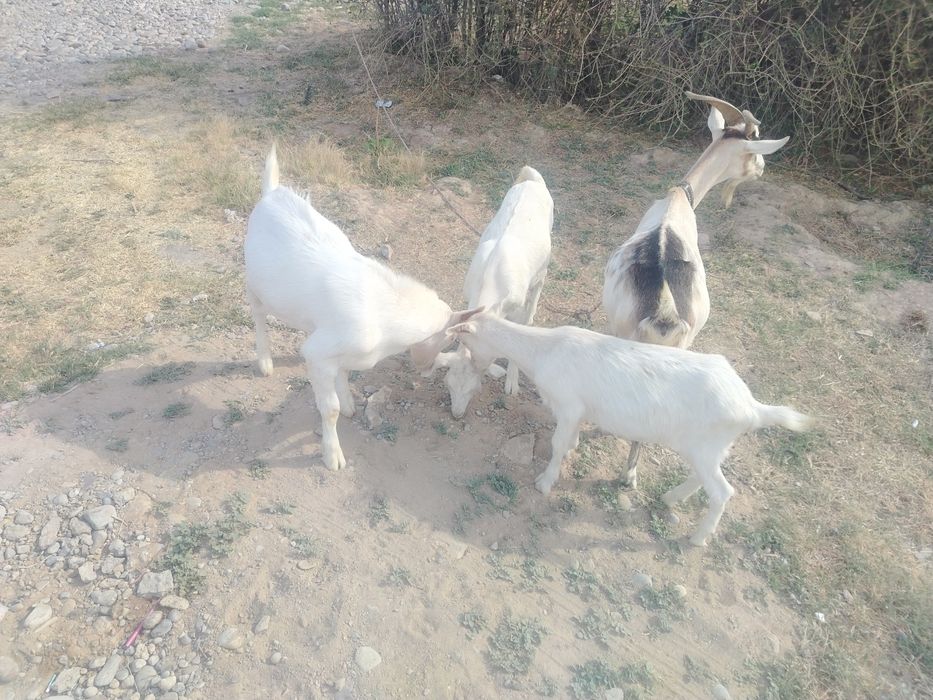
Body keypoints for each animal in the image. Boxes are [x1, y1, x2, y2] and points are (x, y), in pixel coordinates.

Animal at [244, 144, 480, 471]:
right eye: (449, 339)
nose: (426, 368)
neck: (385, 314)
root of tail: (271, 192)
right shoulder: (319, 354)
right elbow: (328, 408)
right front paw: (333, 455)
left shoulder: (335, 349)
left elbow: (342, 376)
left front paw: (348, 404)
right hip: (254, 283)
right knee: (257, 315)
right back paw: (265, 361)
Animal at [428, 166, 553, 418]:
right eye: (448, 384)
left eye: (474, 389)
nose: (457, 414)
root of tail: (534, 179)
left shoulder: (514, 305)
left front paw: (512, 383)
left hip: (544, 261)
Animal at [451, 312, 811, 546]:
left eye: (463, 339)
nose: (471, 363)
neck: (545, 351)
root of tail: (752, 408)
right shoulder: (577, 411)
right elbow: (569, 438)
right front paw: (574, 446)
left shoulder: (568, 405)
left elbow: (557, 444)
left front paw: (545, 482)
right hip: (709, 448)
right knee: (703, 479)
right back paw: (671, 497)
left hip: (705, 447)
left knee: (722, 492)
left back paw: (697, 537)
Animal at [602, 91, 789, 487]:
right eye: (755, 145)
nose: (763, 168)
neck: (679, 200)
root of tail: (664, 313)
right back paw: (629, 474)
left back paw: (630, 472)